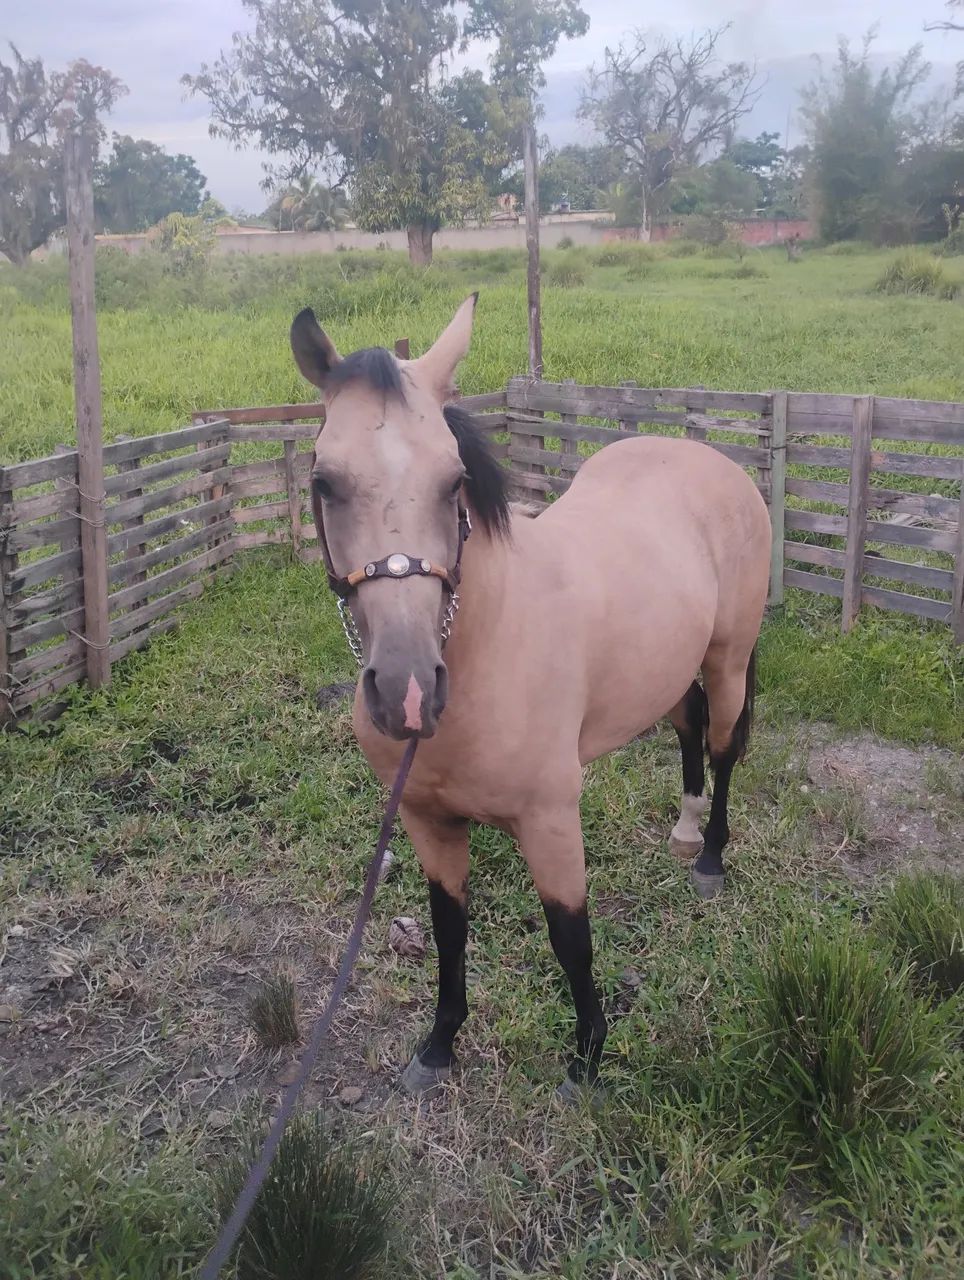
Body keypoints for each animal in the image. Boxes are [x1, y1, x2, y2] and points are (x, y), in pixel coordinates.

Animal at [291, 295, 771, 1099]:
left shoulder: (550, 821)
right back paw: (683, 830)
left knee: (725, 741)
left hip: (728, 657)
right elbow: (449, 929)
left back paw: (708, 859)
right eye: (326, 482)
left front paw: (587, 1058)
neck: (488, 649)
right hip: (666, 667)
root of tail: (712, 461)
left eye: (453, 479)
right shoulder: (426, 821)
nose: (409, 693)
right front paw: (439, 1046)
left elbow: (570, 937)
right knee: (688, 725)